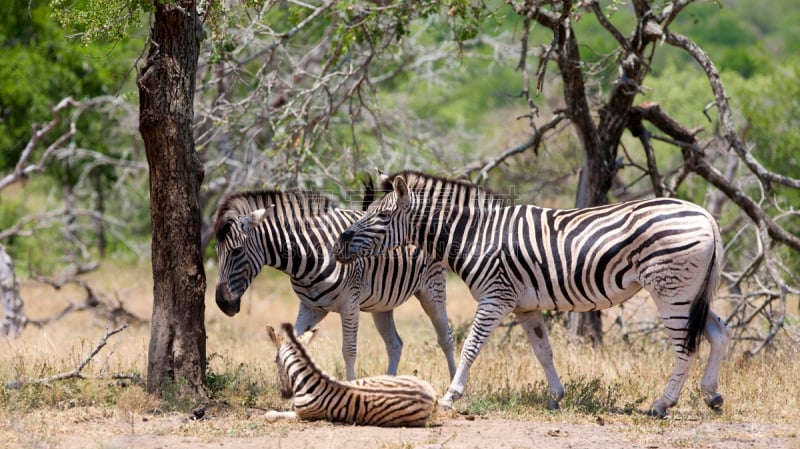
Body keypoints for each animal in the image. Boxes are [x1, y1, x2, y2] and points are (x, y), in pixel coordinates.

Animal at [266, 322, 438, 428]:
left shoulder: (303, 415)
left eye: (274, 361)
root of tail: (429, 395)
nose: (285, 394)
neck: (309, 379)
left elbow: (273, 414)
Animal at [334, 169, 736, 416]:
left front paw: (451, 396)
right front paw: (556, 397)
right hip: (692, 291)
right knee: (719, 331)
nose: (340, 243)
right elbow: (543, 351)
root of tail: (705, 215)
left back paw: (662, 404)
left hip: (670, 289)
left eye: (382, 218)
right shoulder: (525, 306)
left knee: (686, 346)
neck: (478, 234)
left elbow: (470, 347)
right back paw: (712, 394)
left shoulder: (494, 297)